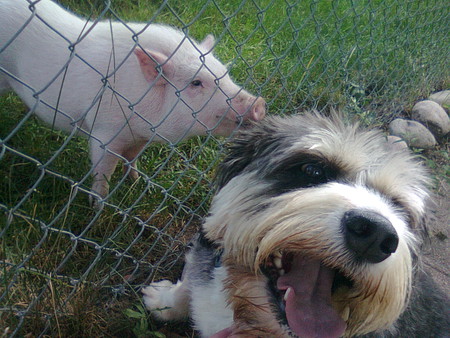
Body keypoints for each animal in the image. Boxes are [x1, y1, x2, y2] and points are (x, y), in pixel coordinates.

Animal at [0, 0, 266, 201]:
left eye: (225, 73)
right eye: (196, 83)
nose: (259, 104)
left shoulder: (141, 135)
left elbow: (133, 159)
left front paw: (137, 183)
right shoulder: (104, 133)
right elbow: (103, 170)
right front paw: (99, 205)